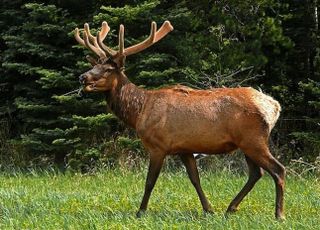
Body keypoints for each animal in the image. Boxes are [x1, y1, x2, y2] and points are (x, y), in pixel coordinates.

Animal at [74, 20, 284, 219]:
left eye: (109, 69)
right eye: (94, 65)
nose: (82, 77)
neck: (139, 111)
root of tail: (274, 107)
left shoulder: (158, 146)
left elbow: (150, 182)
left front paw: (140, 212)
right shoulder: (185, 149)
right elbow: (195, 179)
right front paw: (209, 210)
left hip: (253, 140)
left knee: (278, 169)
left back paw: (279, 214)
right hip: (247, 143)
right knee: (256, 173)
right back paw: (230, 208)